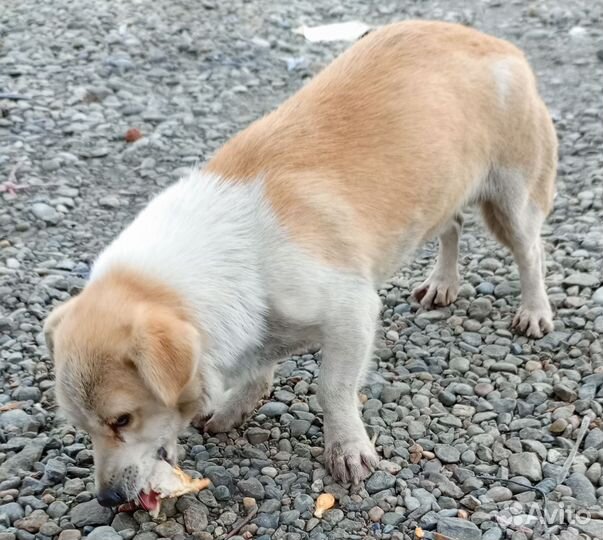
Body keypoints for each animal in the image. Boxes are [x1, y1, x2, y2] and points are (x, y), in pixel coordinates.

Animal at [44, 19, 560, 504]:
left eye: (122, 419)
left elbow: (332, 388)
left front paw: (347, 449)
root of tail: (493, 42)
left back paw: (534, 310)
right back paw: (443, 282)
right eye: (81, 426)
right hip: (439, 194)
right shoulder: (255, 331)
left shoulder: (352, 311)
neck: (230, 254)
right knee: (452, 226)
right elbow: (256, 376)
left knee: (531, 253)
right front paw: (231, 410)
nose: (108, 500)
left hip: (511, 201)